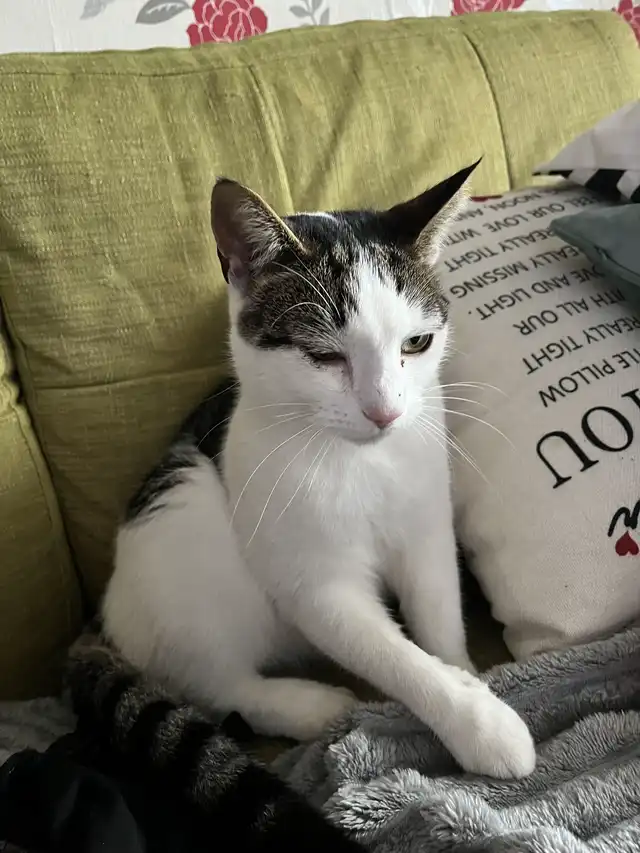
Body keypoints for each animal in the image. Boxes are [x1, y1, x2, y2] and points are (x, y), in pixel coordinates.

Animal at [102, 164, 536, 780]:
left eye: (417, 343)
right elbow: (393, 656)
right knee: (219, 683)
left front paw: (466, 676)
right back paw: (308, 705)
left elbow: (438, 616)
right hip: (180, 523)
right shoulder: (316, 585)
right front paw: (482, 725)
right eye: (324, 356)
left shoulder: (426, 528)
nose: (385, 411)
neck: (361, 461)